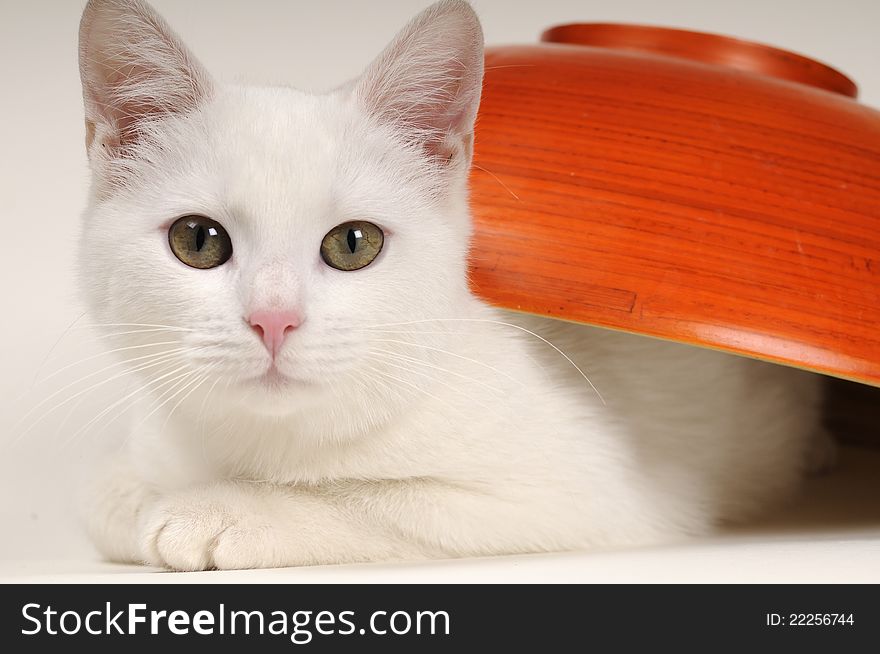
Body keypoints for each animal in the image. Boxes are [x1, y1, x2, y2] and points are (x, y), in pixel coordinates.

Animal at [75, 0, 824, 572]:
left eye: (354, 243)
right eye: (198, 241)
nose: (274, 319)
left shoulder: (589, 493)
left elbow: (380, 499)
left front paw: (220, 510)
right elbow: (108, 497)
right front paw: (147, 499)